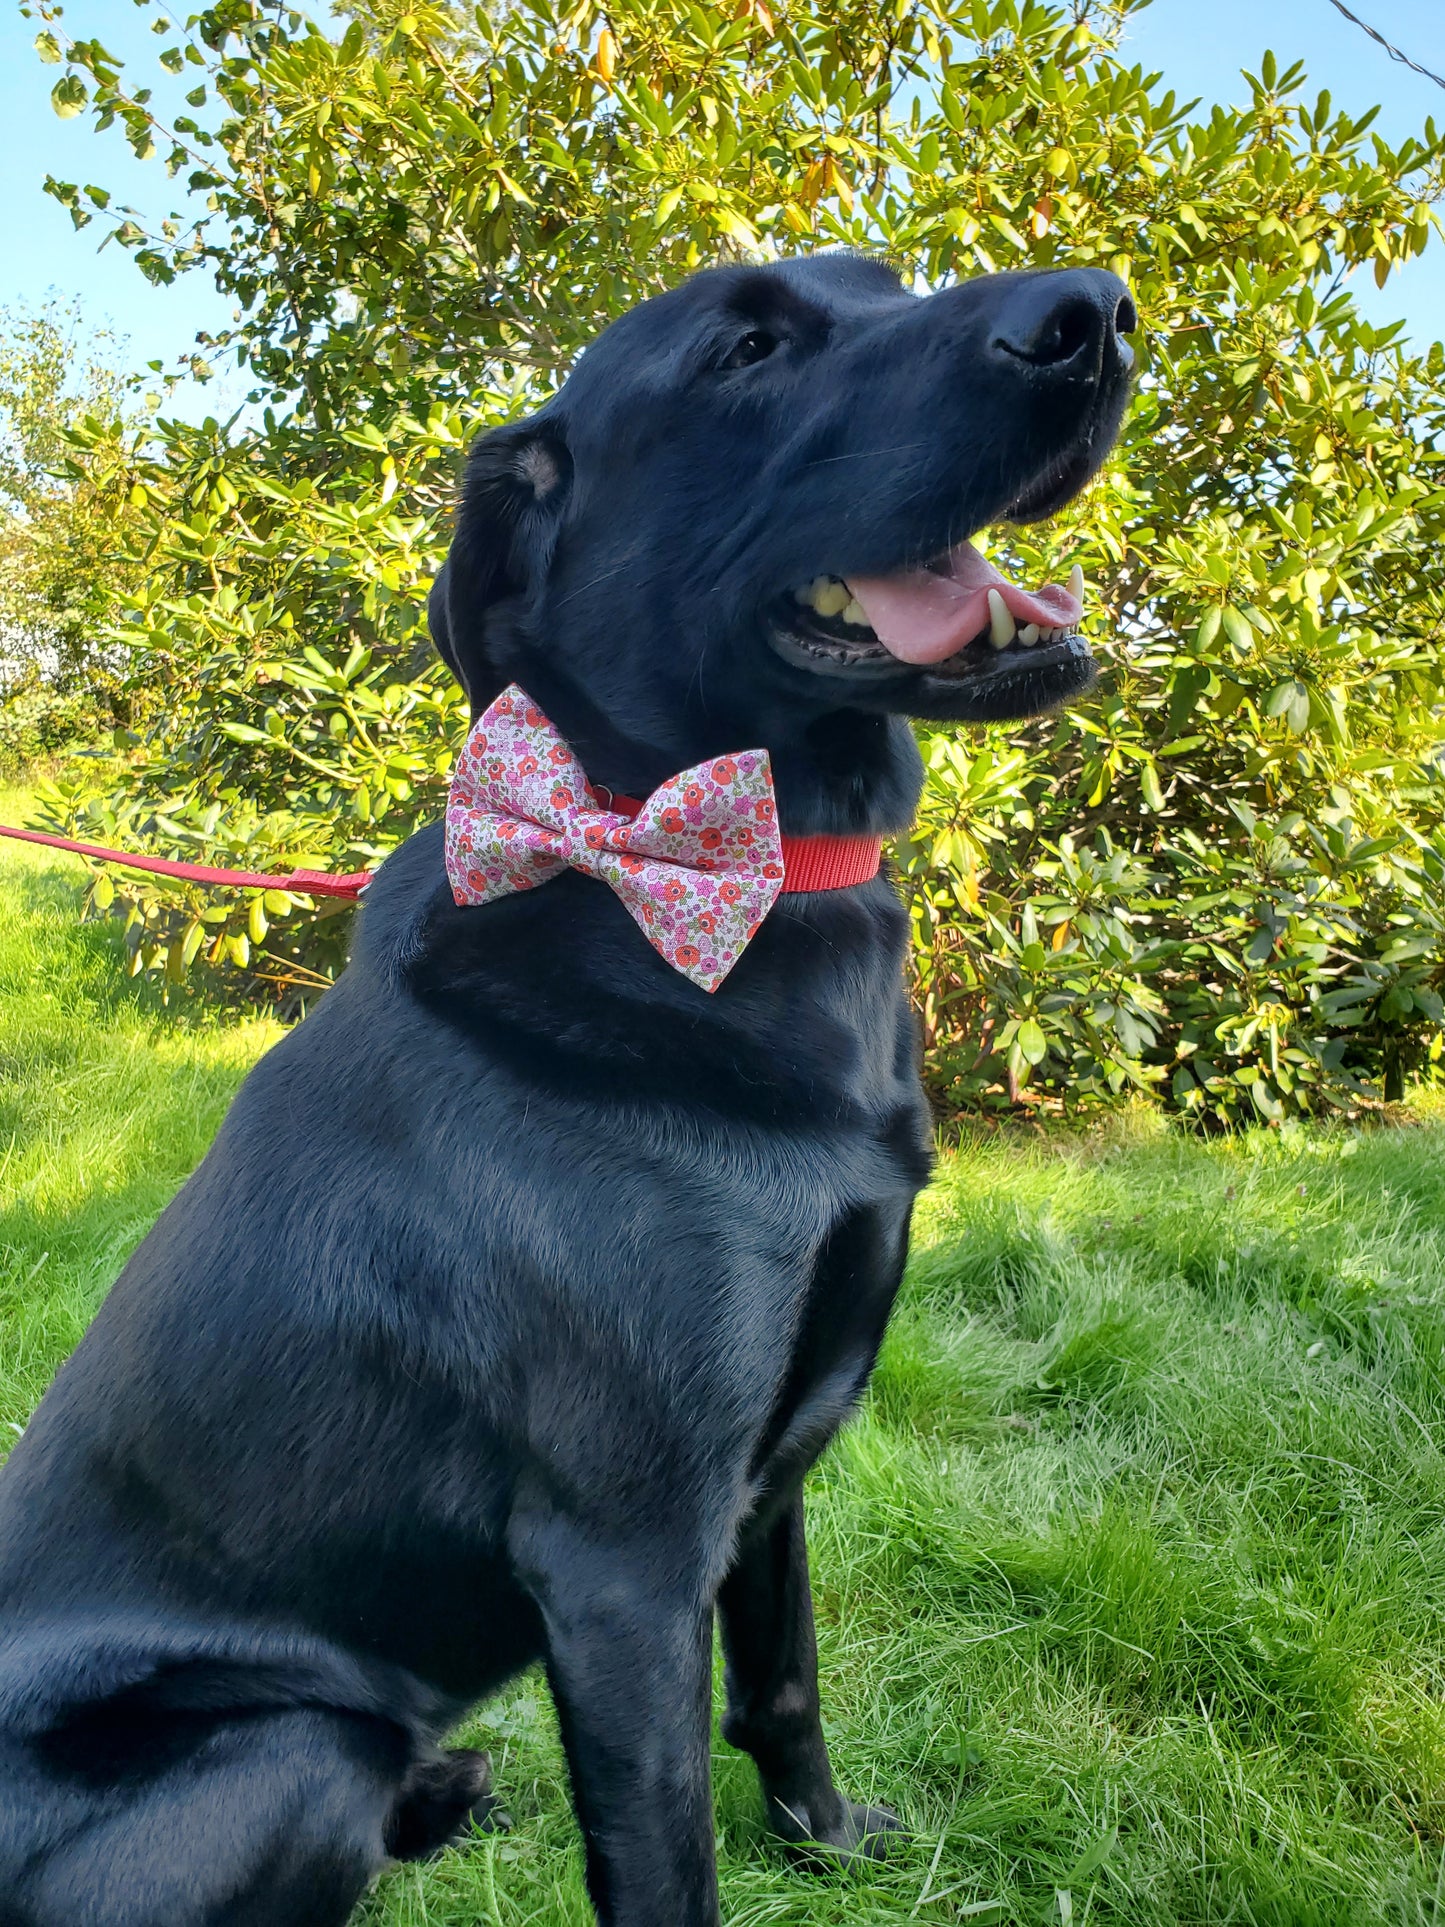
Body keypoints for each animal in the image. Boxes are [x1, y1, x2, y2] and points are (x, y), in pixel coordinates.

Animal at [0, 256, 1132, 1927]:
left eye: (882, 281)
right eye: (745, 349)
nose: (1095, 312)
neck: (687, 866)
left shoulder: (762, 1479)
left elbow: (784, 1680)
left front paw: (828, 1838)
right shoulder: (624, 1558)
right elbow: (665, 1854)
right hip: (286, 1742)